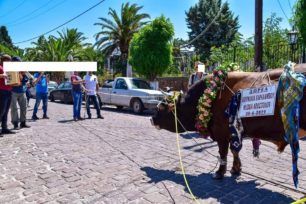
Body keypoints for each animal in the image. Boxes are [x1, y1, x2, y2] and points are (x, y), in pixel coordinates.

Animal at [151, 63, 306, 178]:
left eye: (162, 106)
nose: (151, 119)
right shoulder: (233, 133)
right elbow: (234, 151)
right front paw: (236, 169)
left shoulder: (221, 133)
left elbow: (223, 153)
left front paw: (219, 172)